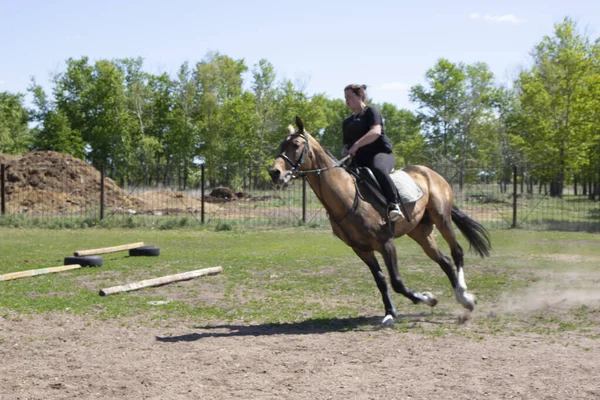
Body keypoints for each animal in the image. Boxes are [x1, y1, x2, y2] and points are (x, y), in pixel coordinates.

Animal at [270, 115, 490, 324]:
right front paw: (390, 312)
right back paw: (462, 299)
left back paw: (465, 297)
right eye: (281, 146)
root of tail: (430, 172)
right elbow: (381, 281)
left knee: (457, 252)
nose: (274, 173)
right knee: (444, 261)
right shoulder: (361, 249)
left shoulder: (386, 243)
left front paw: (428, 298)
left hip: (441, 219)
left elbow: (397, 282)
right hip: (420, 232)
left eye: (296, 145)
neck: (348, 195)